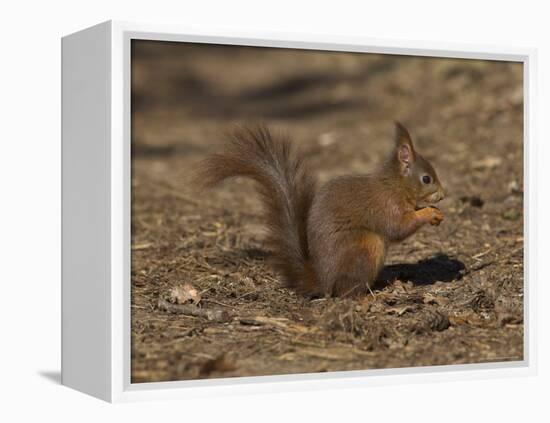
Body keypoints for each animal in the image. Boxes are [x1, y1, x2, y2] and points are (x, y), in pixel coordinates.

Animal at [196, 123, 446, 298]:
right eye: (426, 179)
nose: (443, 195)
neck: (395, 185)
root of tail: (323, 279)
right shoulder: (386, 205)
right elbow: (398, 227)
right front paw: (429, 213)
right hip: (365, 247)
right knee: (345, 293)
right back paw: (368, 297)